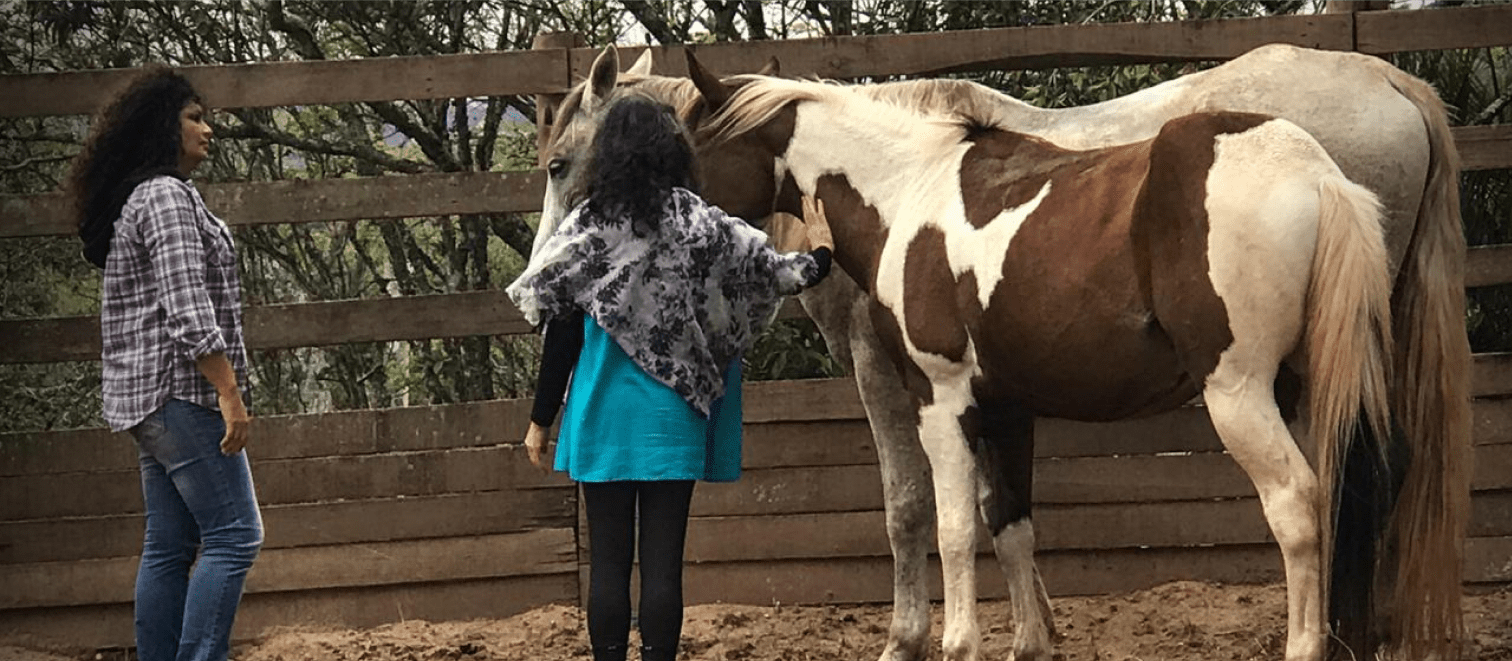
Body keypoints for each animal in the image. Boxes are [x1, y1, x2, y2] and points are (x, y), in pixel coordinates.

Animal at [532, 47, 1463, 659]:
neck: (907, 185)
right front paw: (1031, 638)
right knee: (1361, 486)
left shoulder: (925, 395)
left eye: (560, 161)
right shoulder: (1006, 406)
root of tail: (1320, 169)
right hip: (1319, 381)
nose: (549, 282)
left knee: (1302, 505)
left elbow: (933, 519)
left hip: (1243, 394)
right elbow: (1007, 519)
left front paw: (928, 638)